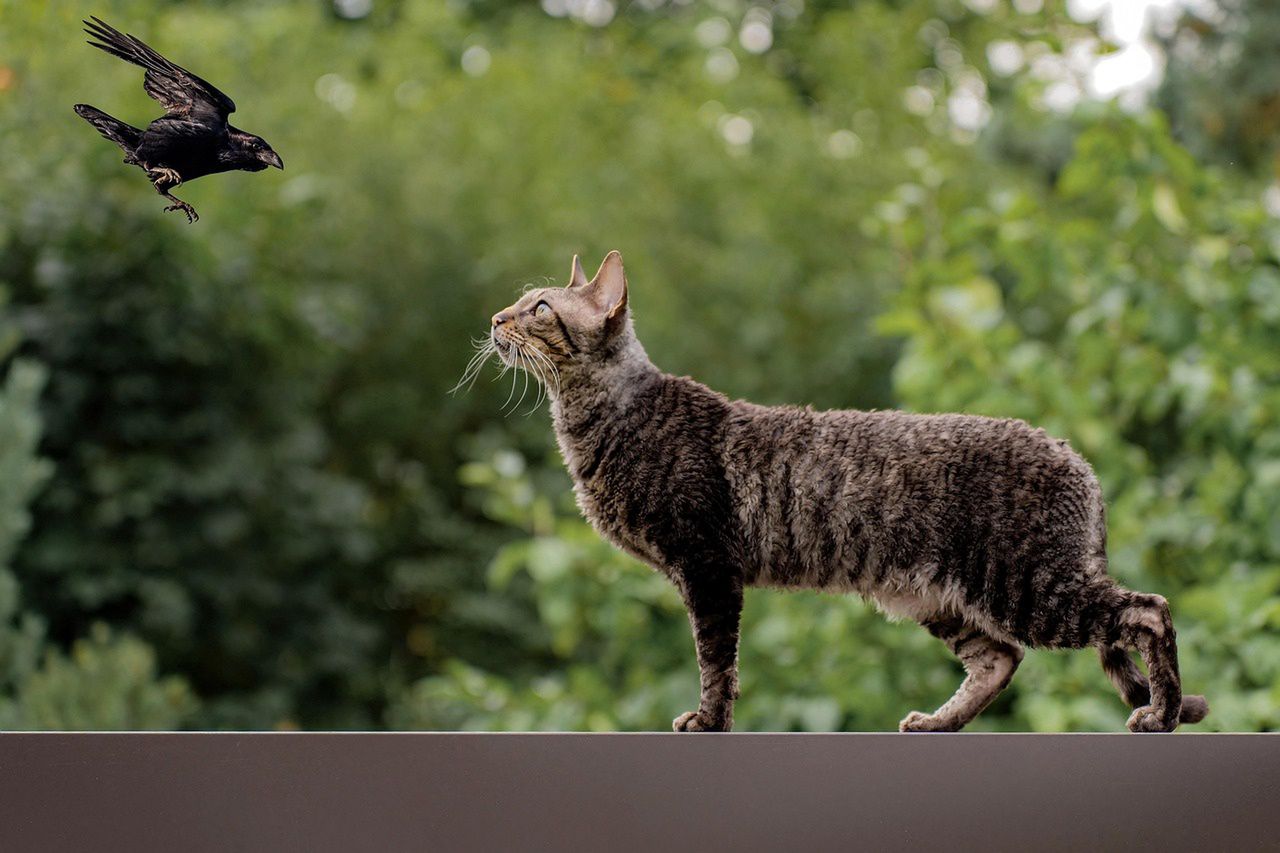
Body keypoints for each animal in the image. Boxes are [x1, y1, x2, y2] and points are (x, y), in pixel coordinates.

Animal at [473, 251, 1208, 732]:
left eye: (540, 308)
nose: (496, 317)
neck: (594, 418)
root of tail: (1076, 456)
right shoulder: (705, 570)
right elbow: (719, 661)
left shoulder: (707, 568)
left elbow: (717, 661)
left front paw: (708, 719)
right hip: (939, 596)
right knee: (1000, 658)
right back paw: (937, 723)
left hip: (1029, 583)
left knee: (1147, 611)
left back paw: (1164, 711)